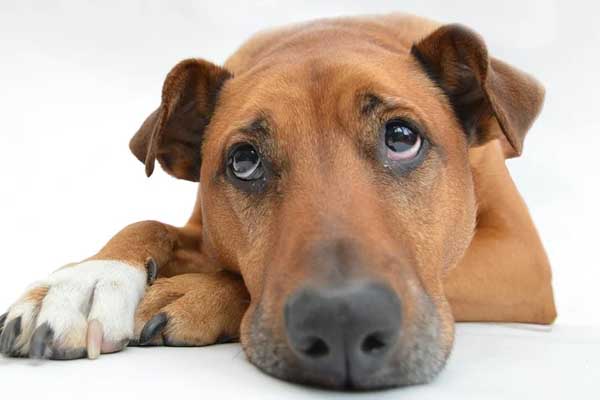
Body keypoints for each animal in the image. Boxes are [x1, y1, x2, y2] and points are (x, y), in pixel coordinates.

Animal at [0, 13, 556, 390]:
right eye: (244, 161)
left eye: (402, 137)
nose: (343, 320)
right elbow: (147, 223)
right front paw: (87, 281)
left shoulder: (521, 258)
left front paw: (199, 293)